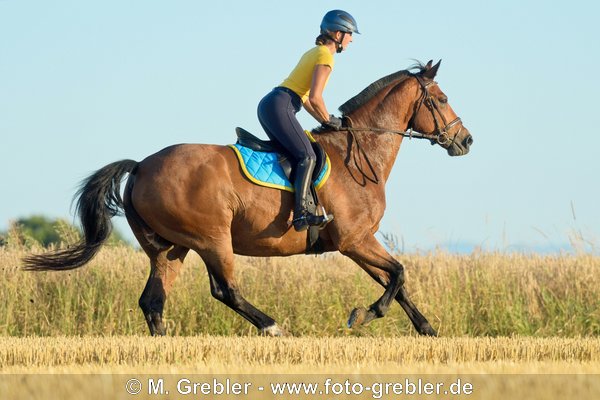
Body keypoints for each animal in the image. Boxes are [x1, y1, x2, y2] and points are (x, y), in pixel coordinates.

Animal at [23, 60, 474, 338]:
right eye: (442, 99)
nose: (465, 140)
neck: (359, 154)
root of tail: (140, 167)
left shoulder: (360, 241)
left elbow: (397, 281)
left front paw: (428, 331)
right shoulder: (353, 240)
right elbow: (398, 275)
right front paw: (362, 315)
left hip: (169, 248)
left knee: (153, 300)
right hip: (211, 238)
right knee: (225, 291)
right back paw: (274, 327)